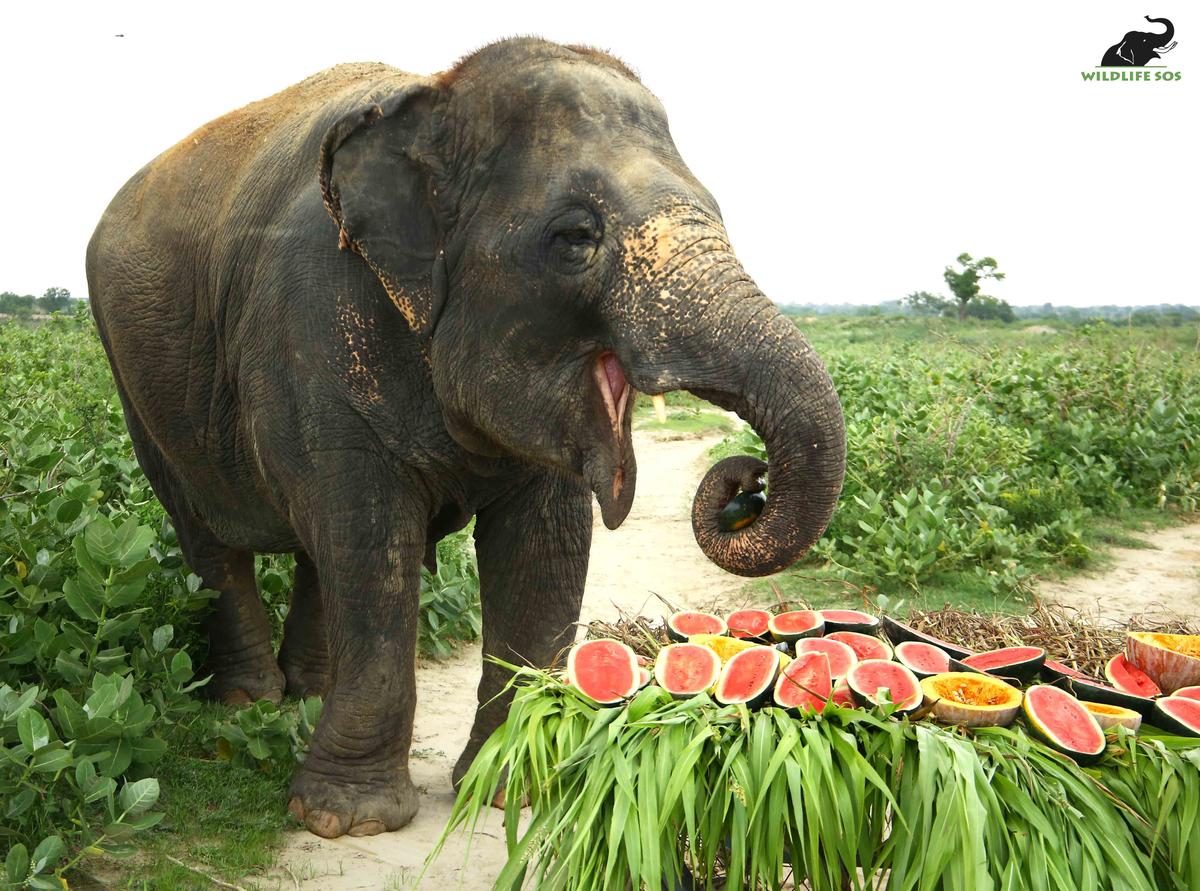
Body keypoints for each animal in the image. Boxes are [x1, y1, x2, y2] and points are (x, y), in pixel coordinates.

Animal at [87, 38, 844, 840]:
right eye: (575, 237)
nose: (746, 481)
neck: (435, 100)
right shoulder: (311, 321)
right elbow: (372, 542)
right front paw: (343, 819)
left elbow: (543, 550)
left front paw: (514, 791)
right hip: (138, 382)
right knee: (215, 540)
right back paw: (251, 700)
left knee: (315, 550)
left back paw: (309, 693)